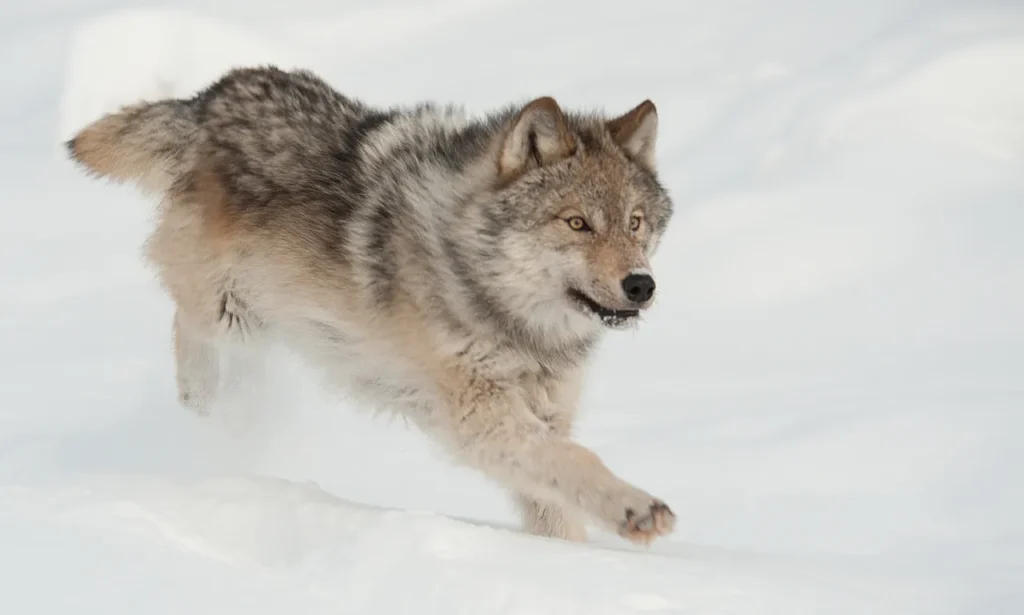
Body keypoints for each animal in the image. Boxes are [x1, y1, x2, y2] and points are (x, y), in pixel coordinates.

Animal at [66, 64, 671, 544]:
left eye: (634, 222)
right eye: (577, 224)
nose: (641, 285)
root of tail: (211, 97)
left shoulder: (545, 418)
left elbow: (558, 502)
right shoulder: (480, 419)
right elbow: (577, 460)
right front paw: (637, 508)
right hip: (228, 312)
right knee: (185, 324)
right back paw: (200, 403)